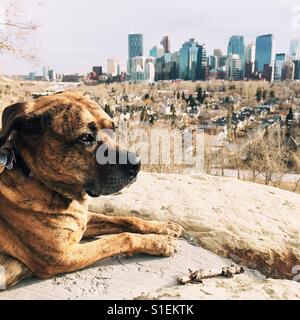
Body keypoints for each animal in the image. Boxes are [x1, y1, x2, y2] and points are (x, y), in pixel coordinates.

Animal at [0, 91, 183, 288]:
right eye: (86, 138)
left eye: (113, 128)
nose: (137, 164)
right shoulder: (61, 255)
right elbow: (122, 237)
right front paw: (158, 242)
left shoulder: (84, 221)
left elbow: (128, 220)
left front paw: (163, 227)